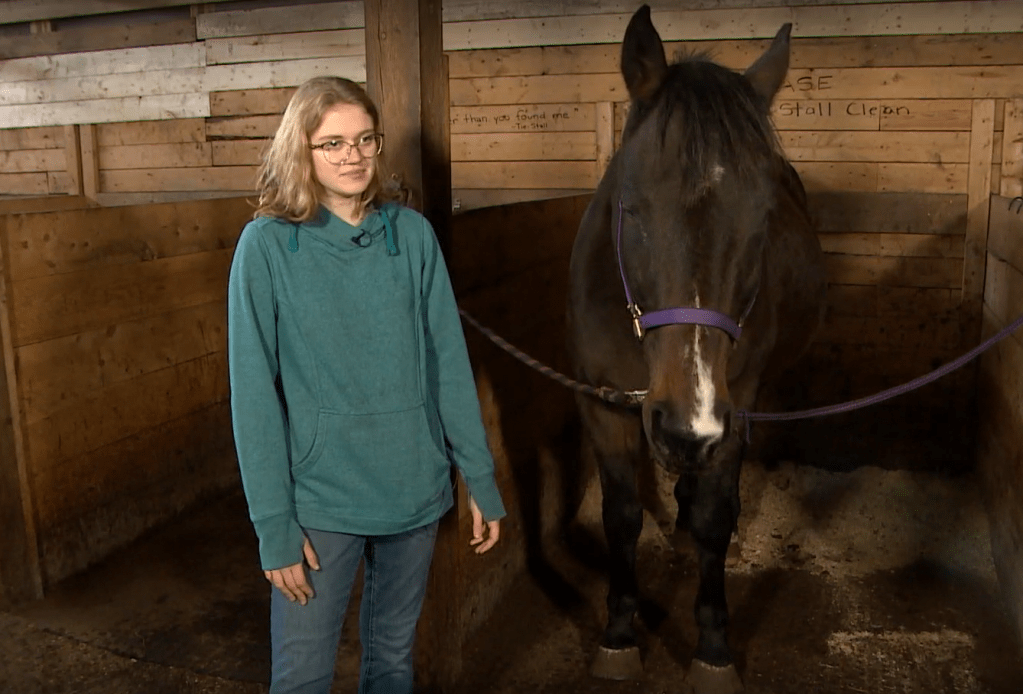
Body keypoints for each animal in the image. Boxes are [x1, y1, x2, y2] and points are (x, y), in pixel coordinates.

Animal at [568, 6, 830, 694]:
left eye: (763, 221)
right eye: (630, 207)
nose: (688, 426)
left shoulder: (730, 408)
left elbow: (715, 516)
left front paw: (713, 647)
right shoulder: (602, 403)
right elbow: (622, 516)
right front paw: (620, 634)